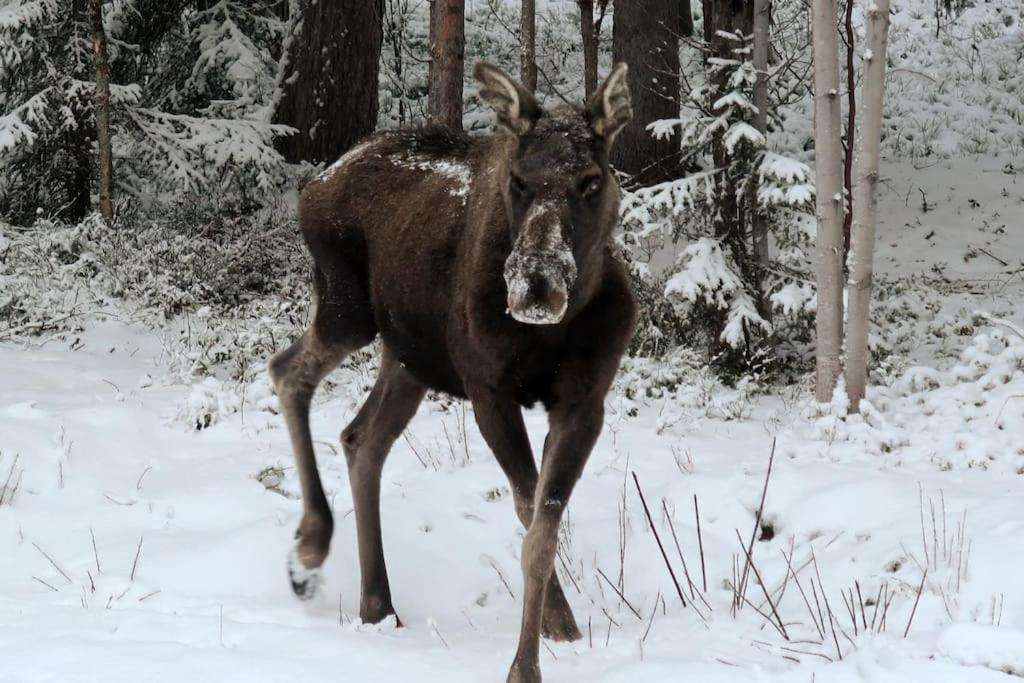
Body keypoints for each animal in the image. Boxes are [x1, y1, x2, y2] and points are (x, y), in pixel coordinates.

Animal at [270, 61, 638, 679]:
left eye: (590, 179)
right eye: (518, 179)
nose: (535, 282)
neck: (553, 329)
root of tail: (317, 184)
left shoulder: (585, 401)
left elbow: (542, 530)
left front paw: (560, 632)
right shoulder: (489, 388)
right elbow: (527, 513)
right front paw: (528, 662)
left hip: (408, 356)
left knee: (361, 436)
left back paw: (376, 601)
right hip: (348, 310)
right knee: (287, 370)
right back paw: (309, 550)